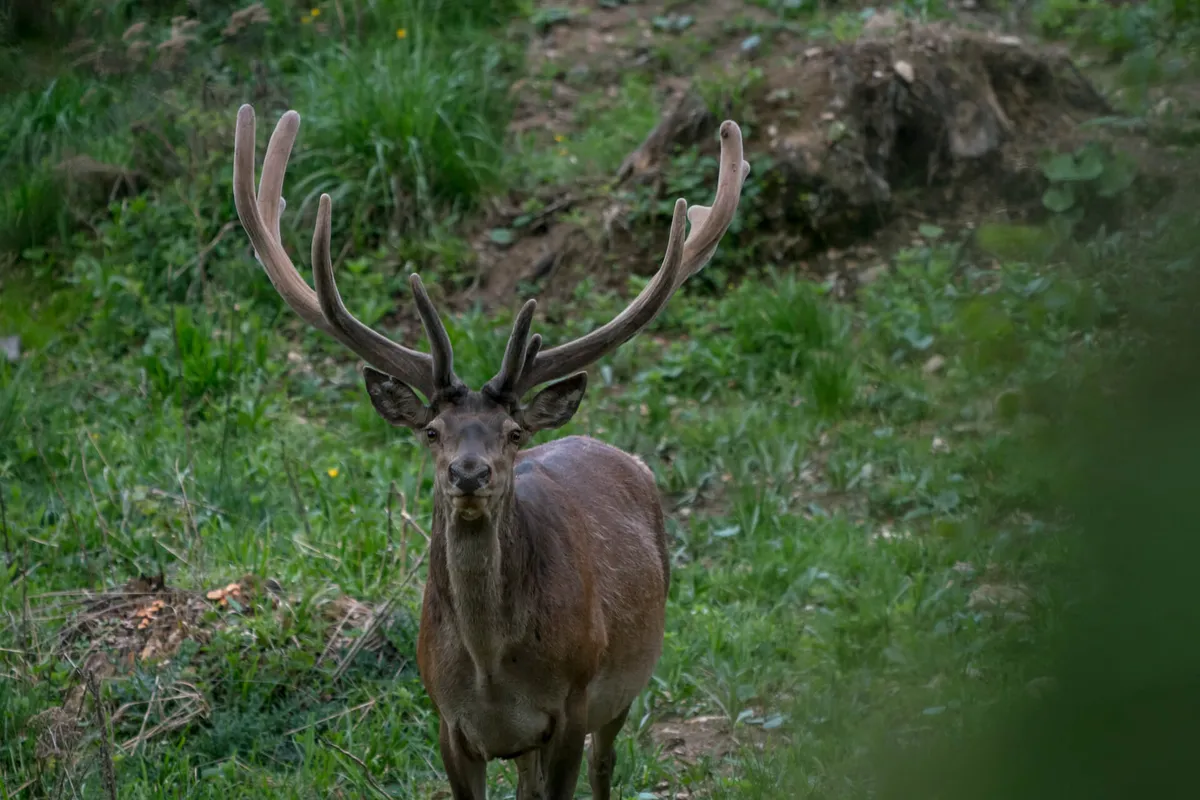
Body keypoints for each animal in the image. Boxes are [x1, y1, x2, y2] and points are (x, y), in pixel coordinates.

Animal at [230, 103, 749, 799]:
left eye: (513, 433)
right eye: (431, 432)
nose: (469, 472)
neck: (490, 667)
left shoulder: (571, 708)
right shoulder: (449, 724)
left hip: (622, 686)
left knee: (607, 765)